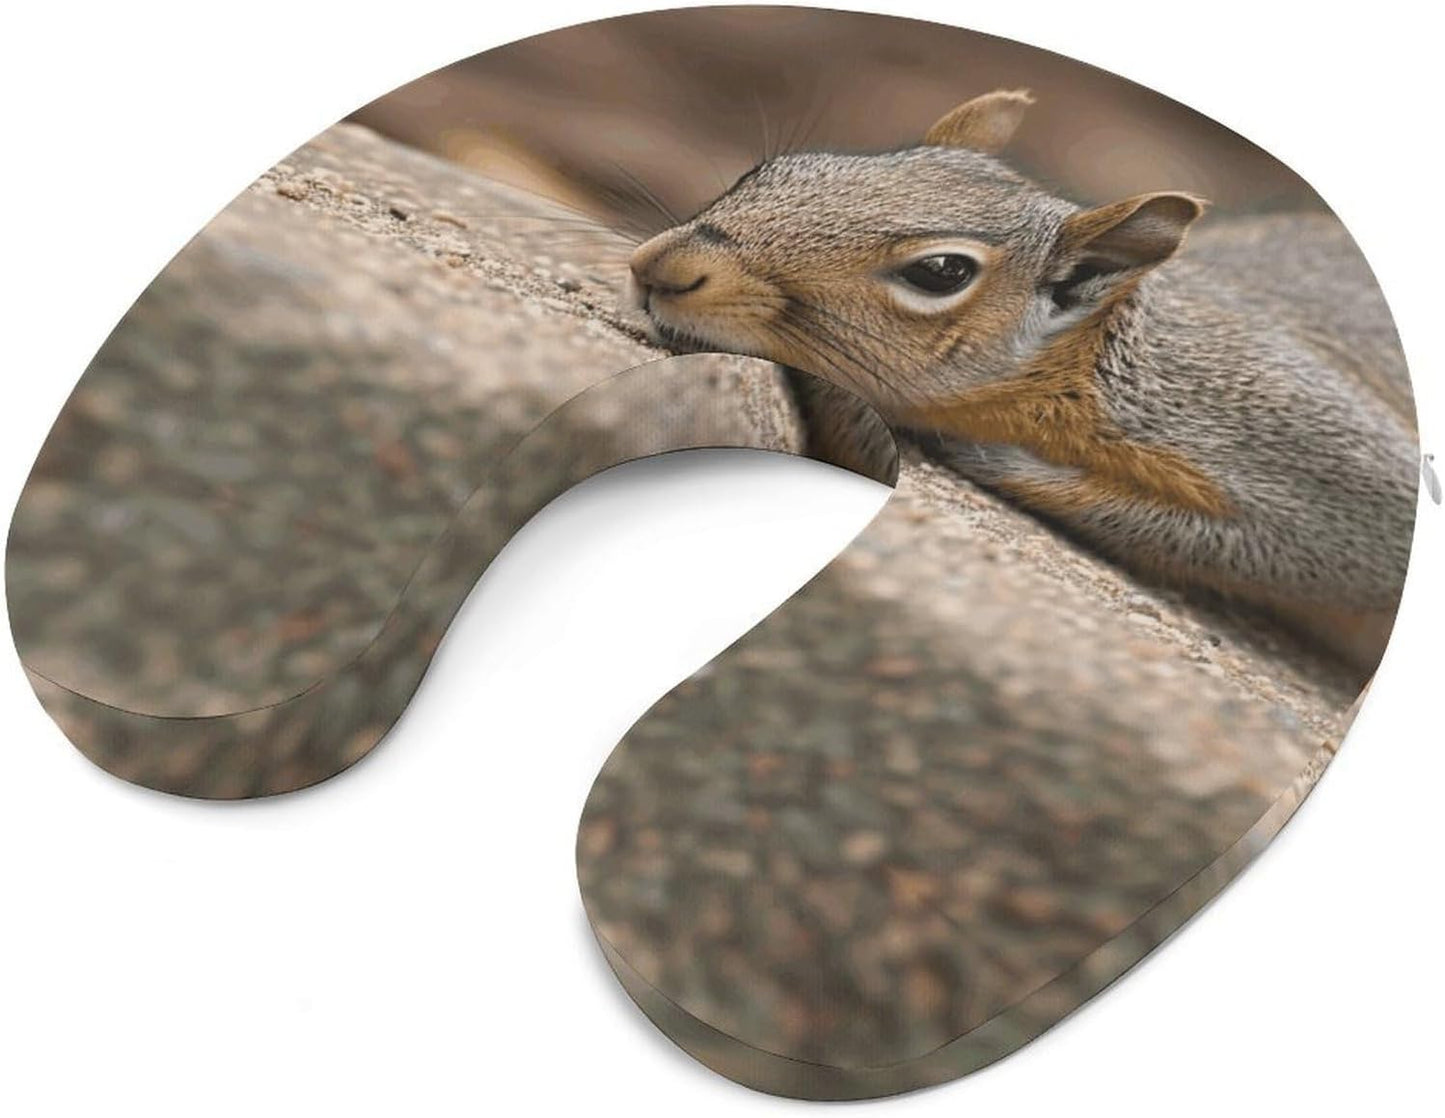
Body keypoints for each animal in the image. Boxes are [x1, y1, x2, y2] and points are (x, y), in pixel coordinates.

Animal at [624, 89, 1419, 673]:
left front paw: (988, 458)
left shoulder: (1288, 433)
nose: (659, 267)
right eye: (770, 168)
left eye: (940, 272)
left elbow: (1350, 550)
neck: (1084, 357)